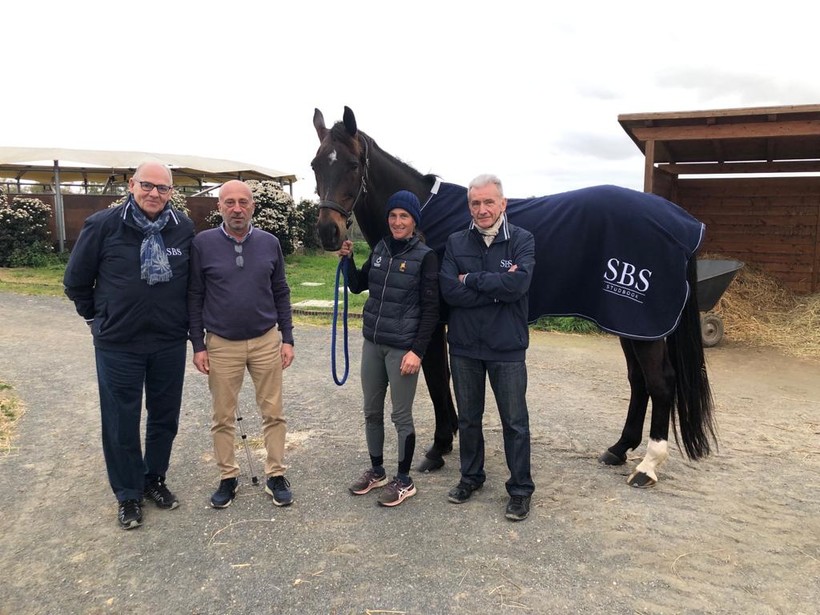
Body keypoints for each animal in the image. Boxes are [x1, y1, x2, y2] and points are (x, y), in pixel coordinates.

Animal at [314, 107, 716, 490]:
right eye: (316, 165)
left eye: (352, 165)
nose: (328, 232)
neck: (421, 220)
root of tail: (681, 222)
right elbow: (441, 380)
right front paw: (447, 441)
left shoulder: (430, 322)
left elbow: (436, 380)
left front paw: (438, 448)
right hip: (629, 324)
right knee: (639, 381)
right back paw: (618, 449)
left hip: (642, 325)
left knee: (660, 382)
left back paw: (648, 467)